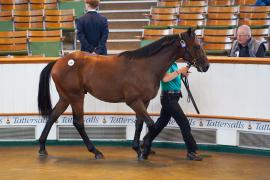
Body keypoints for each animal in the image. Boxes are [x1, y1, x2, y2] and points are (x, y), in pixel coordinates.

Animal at [37, 28, 209, 160]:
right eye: (196, 46)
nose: (206, 66)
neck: (146, 66)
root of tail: (59, 61)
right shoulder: (133, 102)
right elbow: (151, 125)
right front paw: (145, 151)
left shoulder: (143, 101)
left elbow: (140, 124)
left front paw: (138, 149)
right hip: (76, 97)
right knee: (78, 122)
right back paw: (96, 151)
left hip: (65, 98)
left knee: (52, 117)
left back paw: (42, 148)